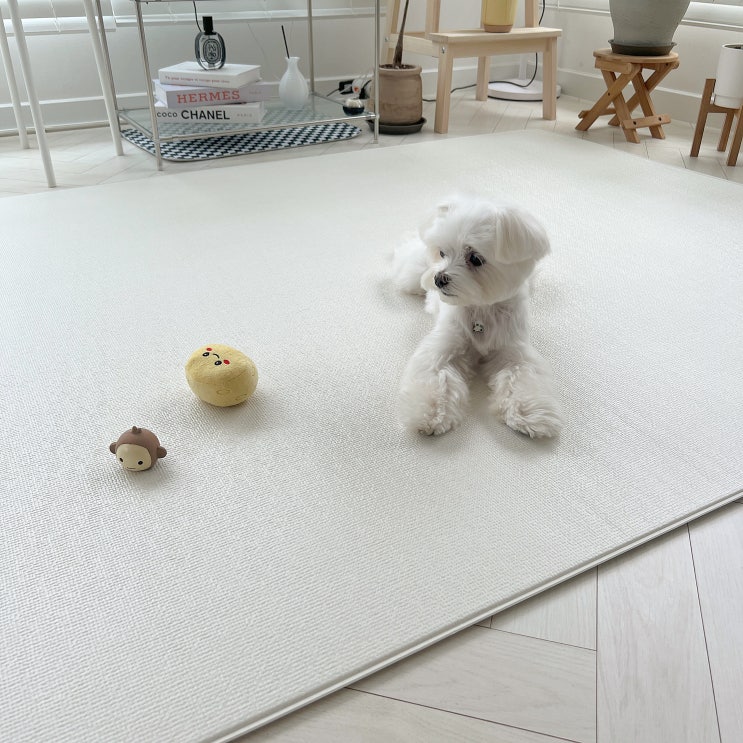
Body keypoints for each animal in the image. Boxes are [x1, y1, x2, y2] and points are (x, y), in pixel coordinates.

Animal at [394, 194, 563, 438]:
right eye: (442, 253)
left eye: (475, 258)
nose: (438, 279)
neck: (481, 308)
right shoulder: (444, 345)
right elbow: (436, 376)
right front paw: (430, 413)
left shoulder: (514, 350)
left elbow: (522, 375)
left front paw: (529, 413)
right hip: (414, 272)